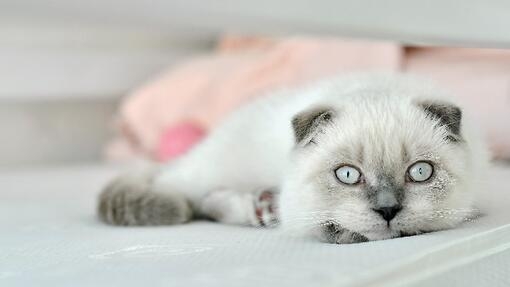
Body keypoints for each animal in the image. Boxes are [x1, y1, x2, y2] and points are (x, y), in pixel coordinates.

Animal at [97, 75, 488, 245]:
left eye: (420, 172)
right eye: (348, 175)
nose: (388, 210)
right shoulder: (302, 211)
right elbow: (325, 226)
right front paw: (344, 231)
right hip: (205, 174)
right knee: (192, 198)